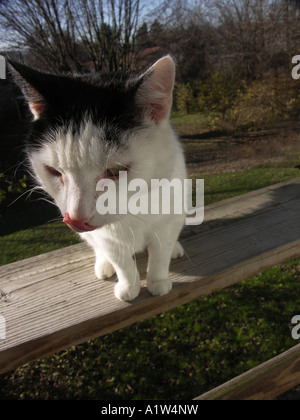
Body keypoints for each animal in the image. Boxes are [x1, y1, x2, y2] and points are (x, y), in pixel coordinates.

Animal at [8, 55, 186, 300]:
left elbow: (160, 253)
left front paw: (158, 282)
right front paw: (129, 287)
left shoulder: (168, 220)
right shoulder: (106, 238)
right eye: (54, 171)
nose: (75, 218)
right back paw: (103, 265)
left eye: (115, 170)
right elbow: (121, 262)